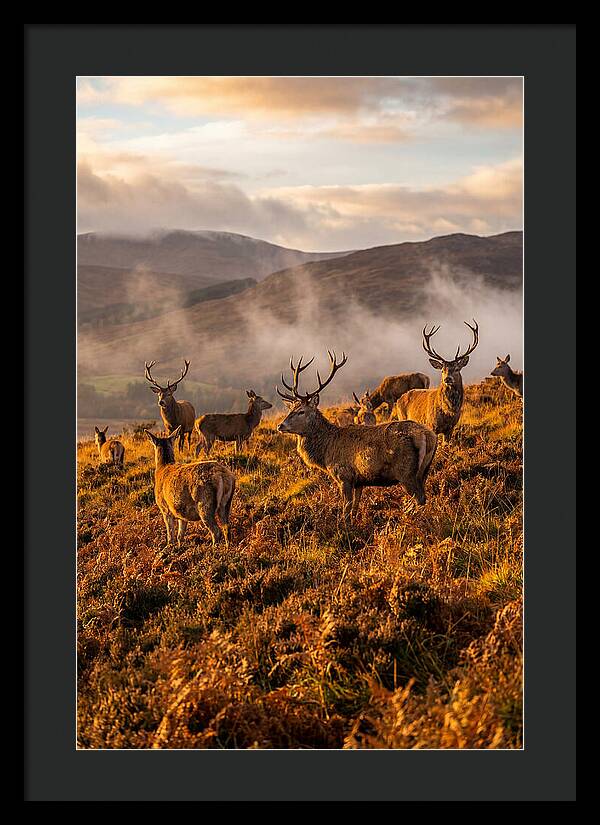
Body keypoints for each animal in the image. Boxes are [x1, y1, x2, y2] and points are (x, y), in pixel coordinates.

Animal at [276, 351, 437, 521]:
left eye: (301, 411)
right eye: (290, 410)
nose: (280, 425)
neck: (326, 453)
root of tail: (427, 435)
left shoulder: (343, 476)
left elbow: (346, 509)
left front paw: (344, 525)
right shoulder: (360, 481)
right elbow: (355, 508)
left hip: (406, 472)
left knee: (420, 498)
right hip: (425, 469)